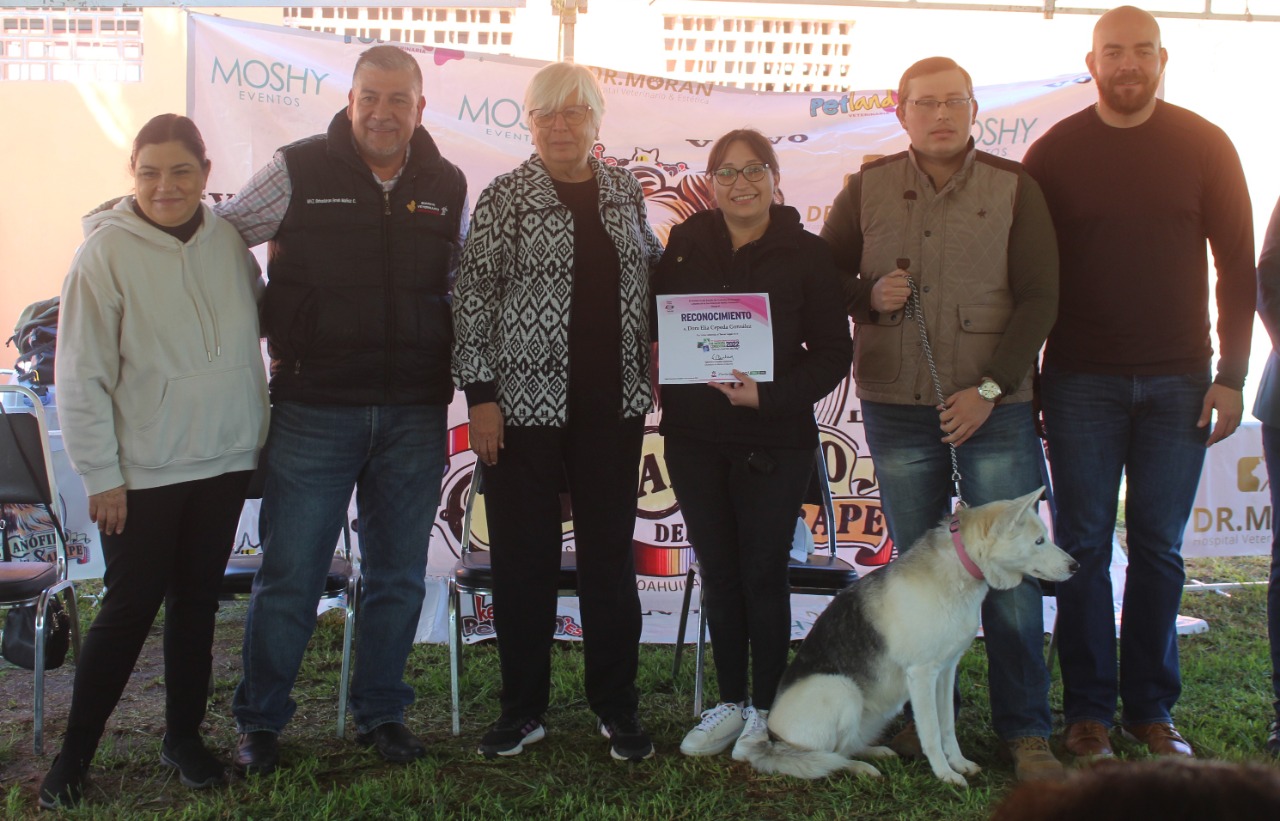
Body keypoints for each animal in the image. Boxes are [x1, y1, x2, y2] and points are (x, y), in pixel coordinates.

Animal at [742, 486, 1080, 778]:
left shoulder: (946, 671)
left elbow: (947, 726)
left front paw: (959, 763)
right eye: (1039, 541)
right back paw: (858, 768)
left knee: (847, 747)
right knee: (828, 757)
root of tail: (772, 738)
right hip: (842, 690)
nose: (1076, 566)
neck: (961, 572)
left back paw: (875, 752)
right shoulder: (922, 674)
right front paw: (945, 775)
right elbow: (930, 730)